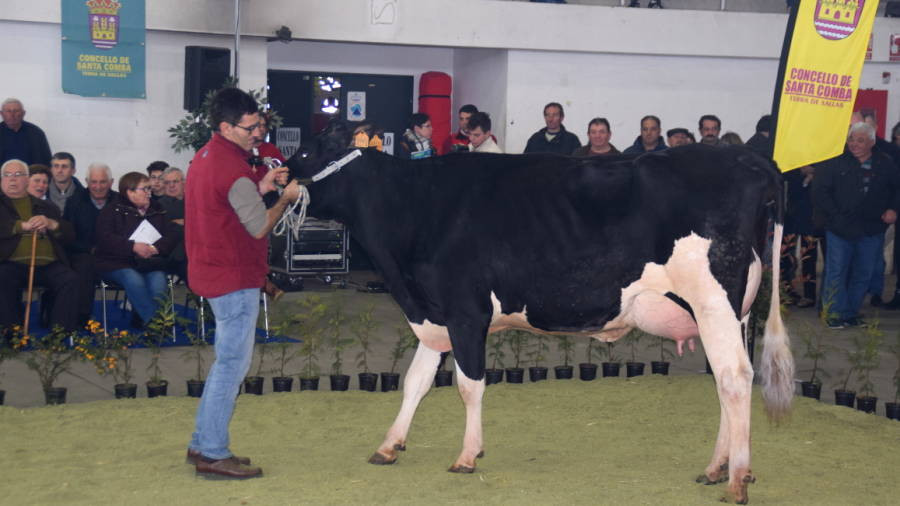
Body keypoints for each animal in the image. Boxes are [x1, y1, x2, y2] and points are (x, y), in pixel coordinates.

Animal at [288, 125, 796, 502]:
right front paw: (389, 445)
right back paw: (717, 468)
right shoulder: (434, 316)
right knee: (727, 382)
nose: (275, 176)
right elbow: (415, 381)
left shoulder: (465, 312)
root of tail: (750, 160)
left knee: (734, 377)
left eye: (307, 151)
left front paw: (468, 455)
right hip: (736, 312)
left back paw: (736, 479)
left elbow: (468, 385)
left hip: (713, 301)